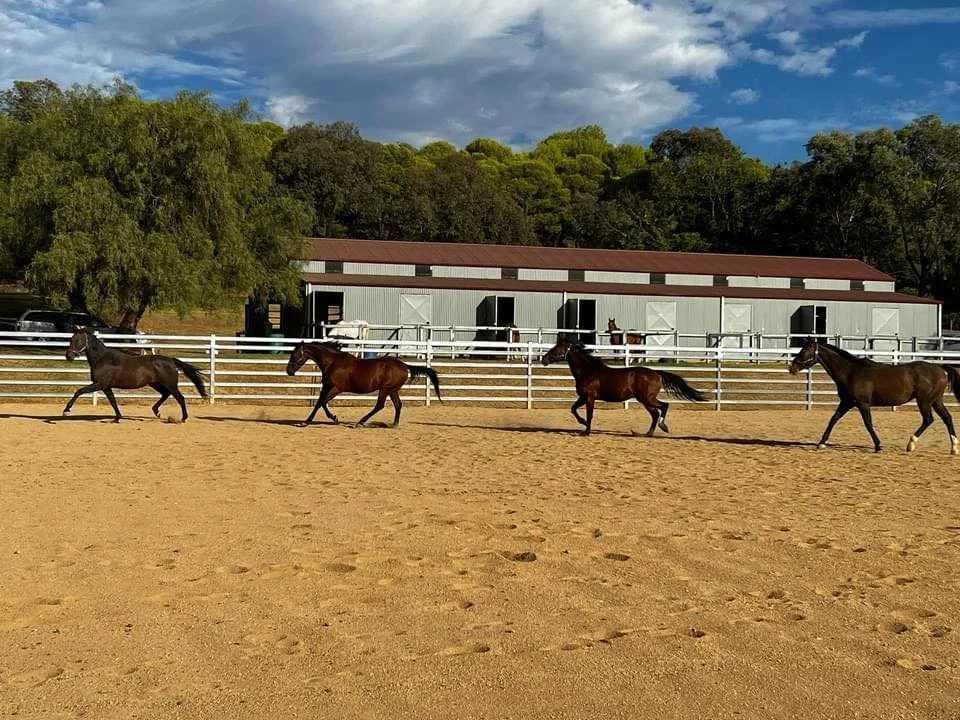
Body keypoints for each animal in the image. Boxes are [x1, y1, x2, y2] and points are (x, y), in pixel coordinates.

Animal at [63, 328, 207, 422]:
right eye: (71, 339)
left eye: (77, 340)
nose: (68, 356)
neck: (102, 359)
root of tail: (171, 360)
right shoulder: (106, 387)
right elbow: (113, 401)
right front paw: (117, 418)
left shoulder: (99, 384)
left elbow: (79, 391)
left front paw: (66, 410)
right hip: (155, 384)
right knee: (165, 394)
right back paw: (157, 411)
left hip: (170, 384)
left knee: (180, 398)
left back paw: (183, 418)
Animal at [285, 341, 443, 427]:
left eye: (294, 354)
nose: (288, 371)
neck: (332, 362)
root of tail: (404, 365)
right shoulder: (327, 386)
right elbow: (318, 403)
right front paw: (305, 422)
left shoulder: (336, 388)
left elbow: (323, 402)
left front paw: (334, 418)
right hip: (392, 390)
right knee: (398, 405)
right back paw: (393, 424)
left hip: (385, 389)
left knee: (379, 406)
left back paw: (359, 423)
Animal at [541, 339, 707, 436]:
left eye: (556, 349)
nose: (544, 360)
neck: (587, 370)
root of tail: (656, 373)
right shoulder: (583, 397)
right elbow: (573, 409)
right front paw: (582, 424)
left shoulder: (590, 396)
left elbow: (589, 414)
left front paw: (586, 431)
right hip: (644, 400)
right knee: (654, 414)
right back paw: (647, 433)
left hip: (647, 398)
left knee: (663, 407)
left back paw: (663, 427)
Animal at [789, 337, 960, 454]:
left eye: (804, 351)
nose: (792, 368)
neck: (851, 372)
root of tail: (940, 369)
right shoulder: (847, 402)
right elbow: (833, 419)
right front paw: (822, 442)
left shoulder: (862, 403)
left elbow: (868, 423)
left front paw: (878, 446)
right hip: (936, 401)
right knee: (947, 418)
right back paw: (954, 448)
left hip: (924, 401)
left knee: (928, 420)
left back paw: (911, 444)